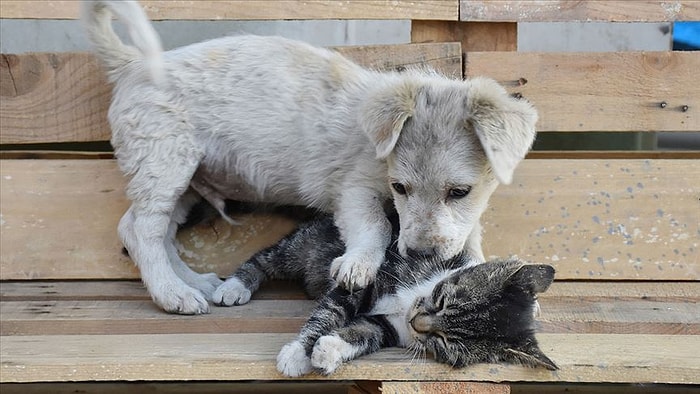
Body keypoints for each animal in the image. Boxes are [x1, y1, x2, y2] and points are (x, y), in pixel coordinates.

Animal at [83, 0, 540, 314]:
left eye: (459, 191)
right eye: (400, 187)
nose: (419, 255)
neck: (379, 151)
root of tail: (133, 64)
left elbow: (471, 238)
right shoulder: (353, 191)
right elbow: (374, 226)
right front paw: (358, 264)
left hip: (187, 180)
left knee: (150, 231)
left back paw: (196, 283)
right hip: (164, 163)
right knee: (142, 230)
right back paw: (173, 294)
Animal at [215, 214, 556, 378]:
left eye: (446, 342)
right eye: (443, 299)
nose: (417, 322)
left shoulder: (391, 328)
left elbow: (367, 332)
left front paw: (329, 350)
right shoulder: (362, 279)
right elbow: (329, 312)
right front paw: (298, 353)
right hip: (304, 246)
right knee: (267, 259)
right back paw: (234, 286)